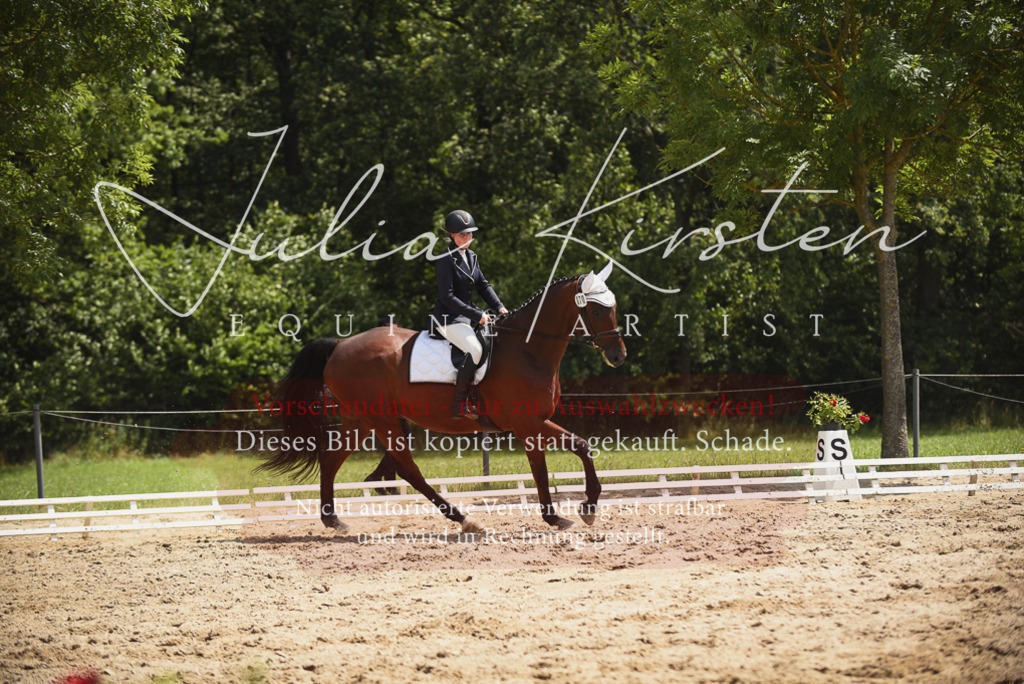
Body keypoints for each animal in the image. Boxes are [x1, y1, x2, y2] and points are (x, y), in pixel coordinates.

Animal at [257, 263, 627, 534]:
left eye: (614, 307)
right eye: (595, 311)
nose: (619, 356)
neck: (527, 349)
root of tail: (339, 345)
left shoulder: (534, 423)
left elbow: (563, 456)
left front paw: (571, 511)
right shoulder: (528, 424)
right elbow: (563, 456)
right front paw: (575, 511)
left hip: (359, 419)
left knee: (332, 459)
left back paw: (333, 520)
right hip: (381, 419)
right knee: (408, 469)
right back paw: (463, 518)